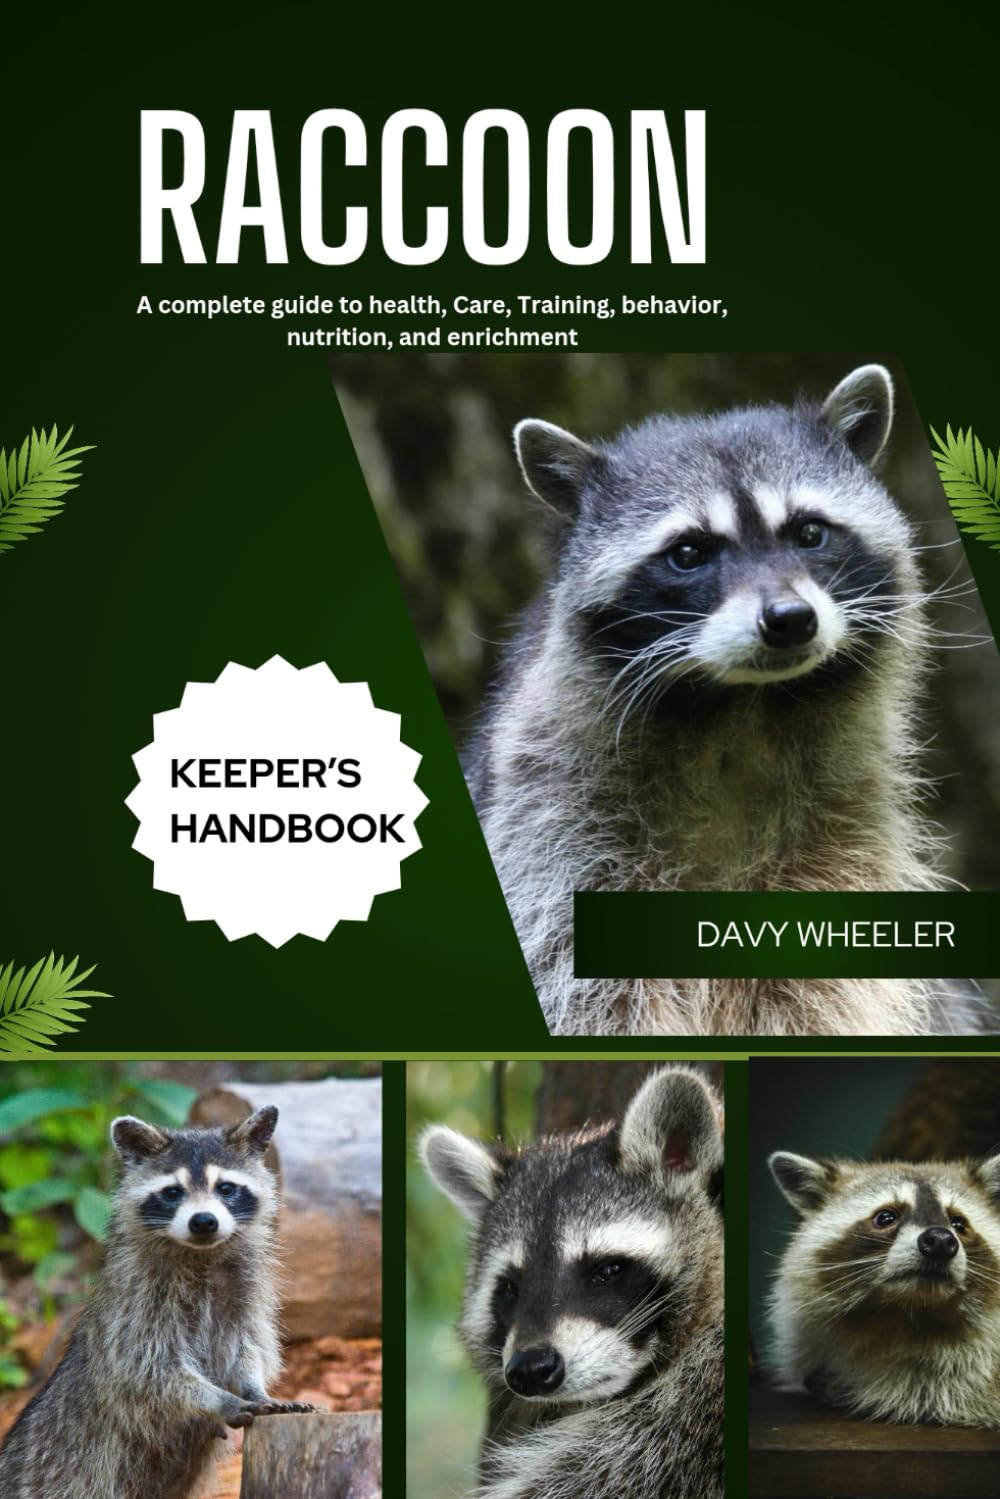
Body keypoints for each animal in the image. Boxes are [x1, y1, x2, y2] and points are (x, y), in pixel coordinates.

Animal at [0, 1107, 314, 1499]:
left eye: (225, 1188)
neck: (201, 1254)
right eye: (172, 1192)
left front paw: (254, 1386)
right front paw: (218, 1399)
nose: (204, 1222)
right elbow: (148, 1370)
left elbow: (248, 1346)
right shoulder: (135, 1303)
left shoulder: (247, 1293)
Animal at [466, 364, 974, 1038]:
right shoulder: (552, 816)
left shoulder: (847, 826)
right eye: (688, 552)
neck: (739, 709)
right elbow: (583, 983)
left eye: (809, 533)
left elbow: (821, 990)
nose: (789, 620)